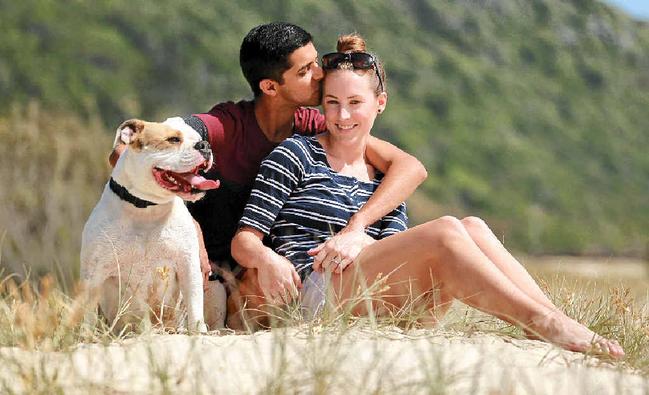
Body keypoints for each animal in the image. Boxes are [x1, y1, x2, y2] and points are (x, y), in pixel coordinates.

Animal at [81, 117, 225, 334]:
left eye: (198, 137)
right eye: (173, 139)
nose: (205, 145)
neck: (147, 208)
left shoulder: (189, 266)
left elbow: (194, 304)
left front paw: (198, 332)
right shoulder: (94, 275)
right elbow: (88, 313)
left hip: (216, 289)